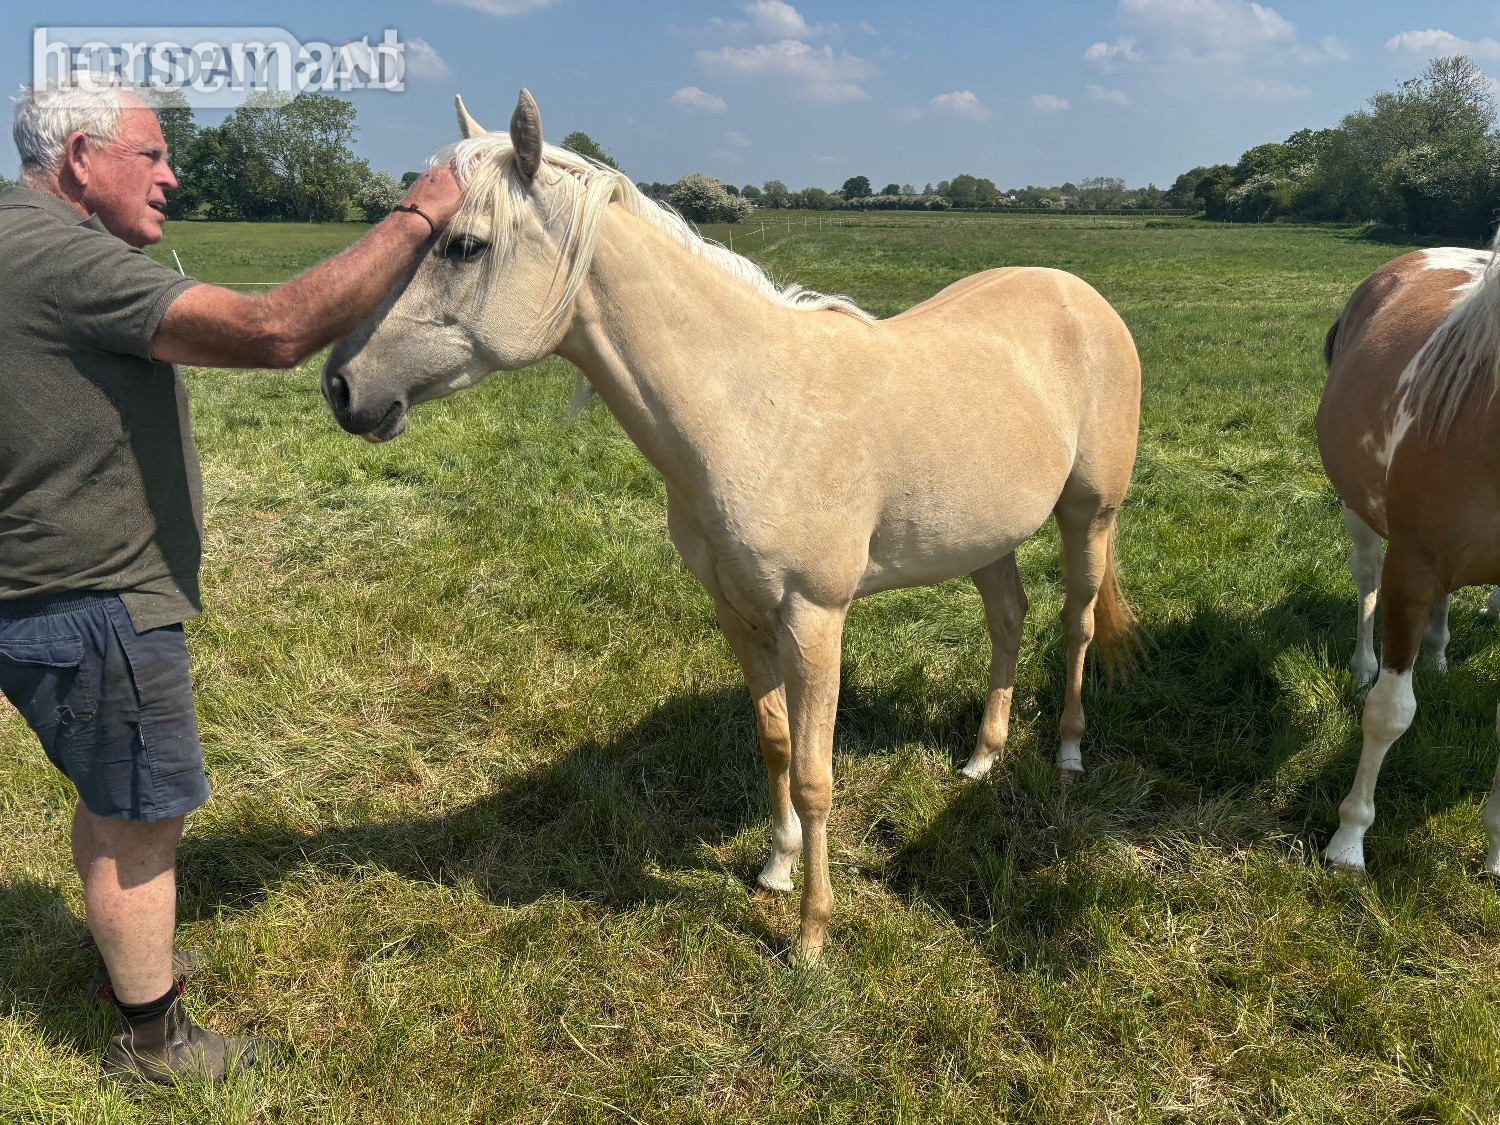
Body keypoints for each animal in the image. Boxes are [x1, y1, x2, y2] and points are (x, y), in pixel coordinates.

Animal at [321, 90, 1142, 960]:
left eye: (465, 245)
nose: (341, 386)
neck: (751, 409)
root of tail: (1082, 296)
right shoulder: (737, 611)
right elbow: (774, 742)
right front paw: (776, 868)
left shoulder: (815, 618)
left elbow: (816, 774)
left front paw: (811, 935)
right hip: (985, 534)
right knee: (1009, 619)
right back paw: (983, 757)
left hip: (1090, 514)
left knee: (1077, 621)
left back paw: (1068, 749)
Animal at [1319, 237, 1500, 875]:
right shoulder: (1411, 573)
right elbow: (1388, 712)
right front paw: (1349, 839)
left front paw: (1497, 849)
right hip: (1359, 513)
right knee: (1365, 583)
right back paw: (1363, 666)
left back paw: (1440, 654)